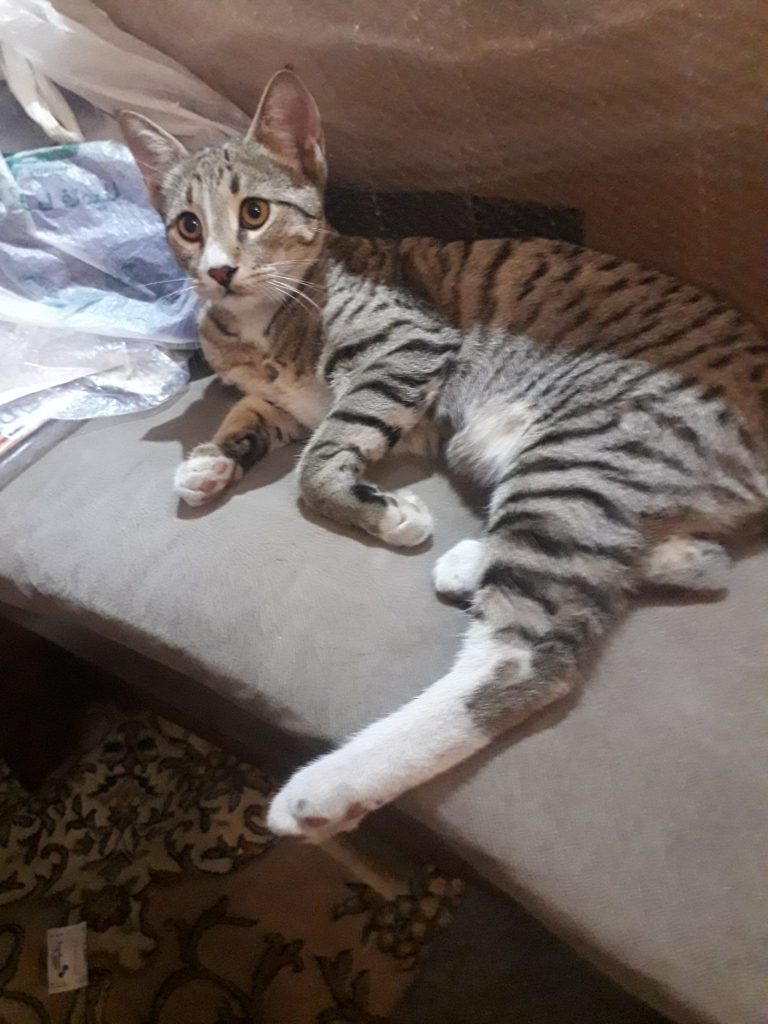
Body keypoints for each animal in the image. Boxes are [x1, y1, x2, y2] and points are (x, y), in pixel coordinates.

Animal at [120, 70, 768, 843]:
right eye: (188, 225)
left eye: (253, 212)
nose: (218, 272)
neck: (264, 323)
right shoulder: (281, 401)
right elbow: (252, 413)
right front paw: (211, 461)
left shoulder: (407, 347)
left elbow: (319, 463)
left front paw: (384, 511)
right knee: (689, 560)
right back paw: (498, 562)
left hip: (583, 454)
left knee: (525, 661)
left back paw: (328, 786)